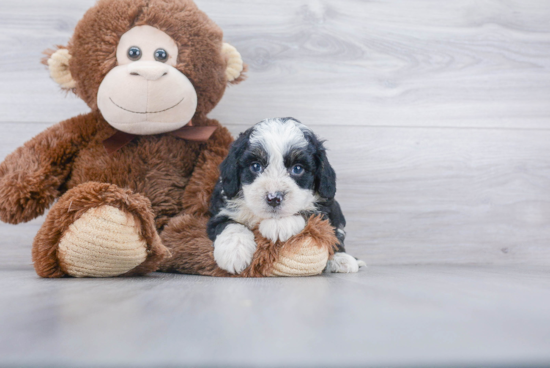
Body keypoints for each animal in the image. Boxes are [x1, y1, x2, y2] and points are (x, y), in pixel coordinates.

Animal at [207, 117, 366, 274]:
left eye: (297, 169)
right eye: (256, 166)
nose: (274, 198)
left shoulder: (324, 206)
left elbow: (310, 213)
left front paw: (279, 224)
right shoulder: (220, 210)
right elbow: (229, 225)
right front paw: (234, 252)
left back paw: (342, 259)